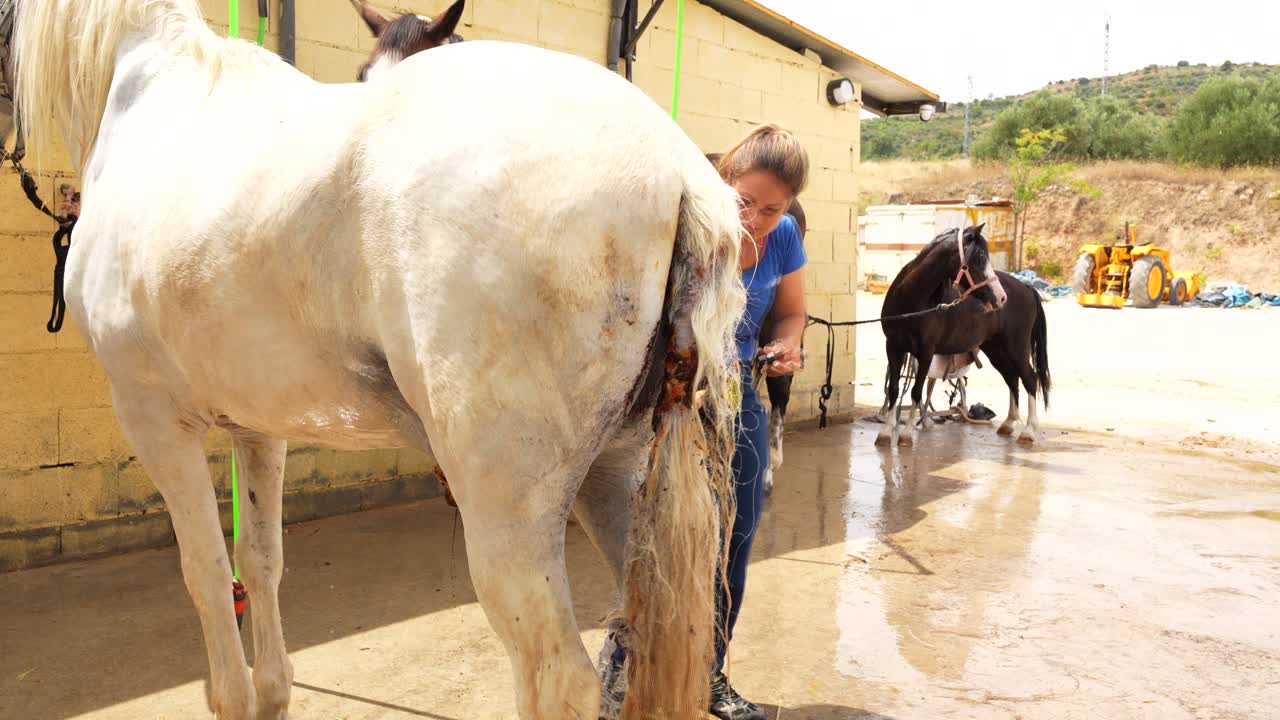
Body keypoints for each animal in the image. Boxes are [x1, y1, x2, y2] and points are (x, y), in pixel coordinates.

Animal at [9, 1, 747, 718]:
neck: (148, 98)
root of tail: (679, 171)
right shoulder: (259, 428)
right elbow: (260, 559)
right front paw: (272, 693)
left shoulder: (155, 420)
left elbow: (206, 574)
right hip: (622, 474)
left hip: (509, 504)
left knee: (559, 679)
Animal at [875, 225, 1050, 447]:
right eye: (979, 258)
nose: (1000, 297)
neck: (910, 300)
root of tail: (1026, 288)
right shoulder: (893, 348)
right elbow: (894, 389)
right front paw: (885, 433)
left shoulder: (925, 353)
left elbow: (916, 391)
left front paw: (906, 435)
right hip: (996, 350)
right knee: (1012, 378)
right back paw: (1009, 424)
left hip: (1016, 348)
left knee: (1029, 378)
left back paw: (1028, 431)